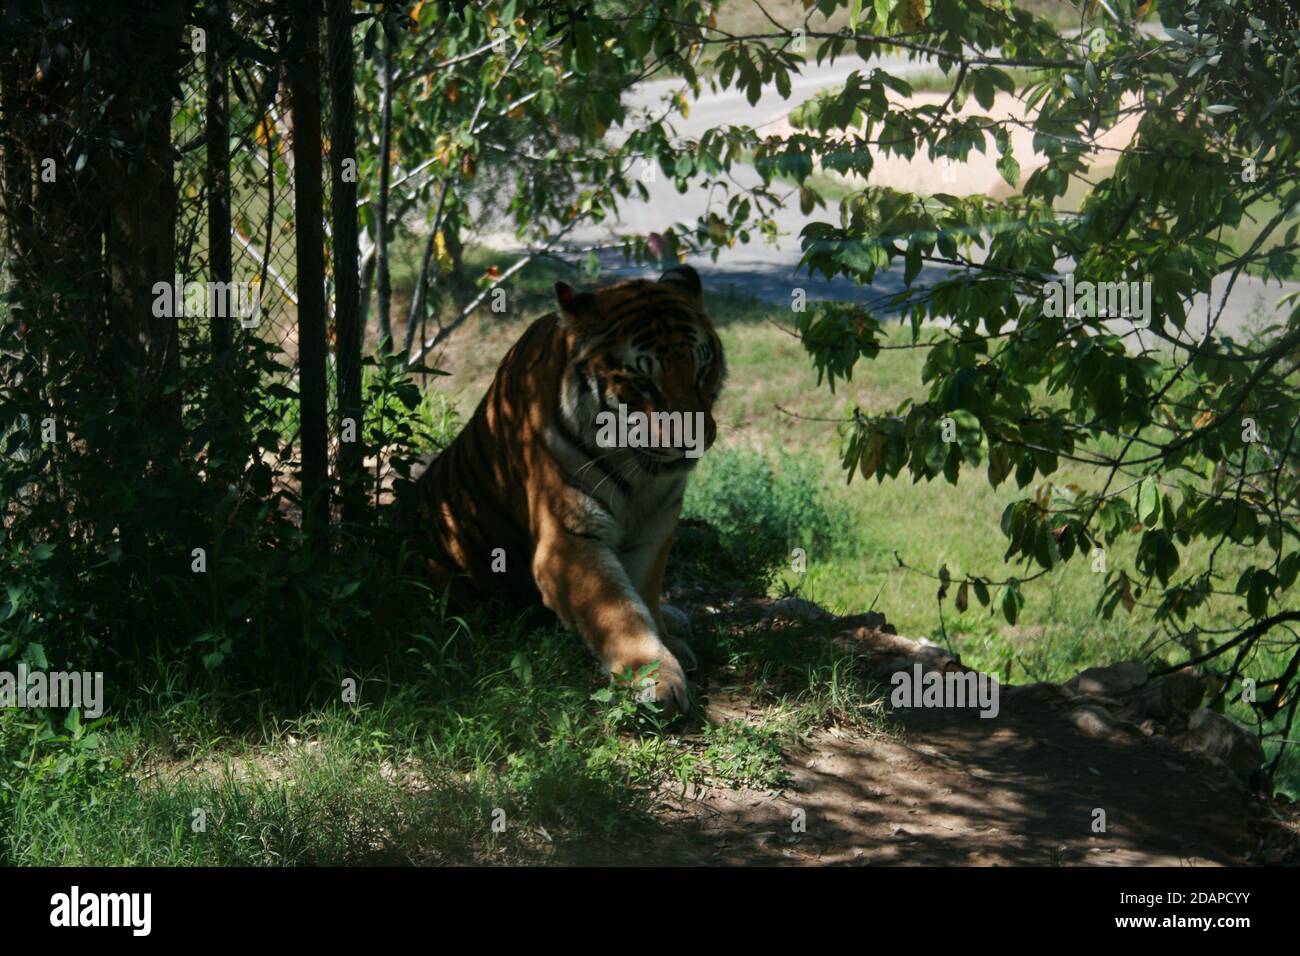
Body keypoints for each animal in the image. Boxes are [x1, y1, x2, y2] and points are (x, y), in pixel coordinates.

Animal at [408, 265, 722, 712]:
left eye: (701, 370)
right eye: (642, 382)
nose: (693, 440)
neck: (639, 472)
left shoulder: (655, 528)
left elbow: (644, 591)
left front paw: (667, 639)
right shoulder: (568, 539)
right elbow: (620, 611)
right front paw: (654, 677)